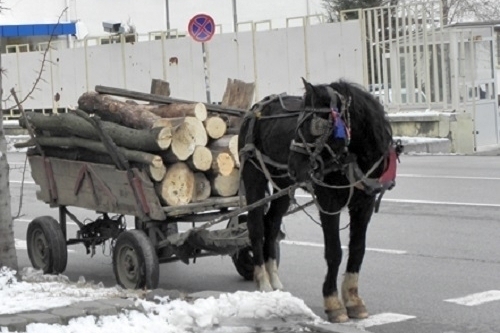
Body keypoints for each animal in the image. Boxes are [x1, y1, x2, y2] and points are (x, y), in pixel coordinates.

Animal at [238, 78, 398, 322]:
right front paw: (333, 303)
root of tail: (255, 109)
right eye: (298, 124)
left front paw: (354, 301)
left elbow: (358, 249)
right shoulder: (328, 202)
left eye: (313, 125)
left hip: (283, 186)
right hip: (253, 175)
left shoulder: (364, 205)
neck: (352, 158)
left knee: (272, 224)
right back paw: (262, 280)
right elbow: (334, 251)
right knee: (255, 226)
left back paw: (274, 279)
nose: (294, 166)